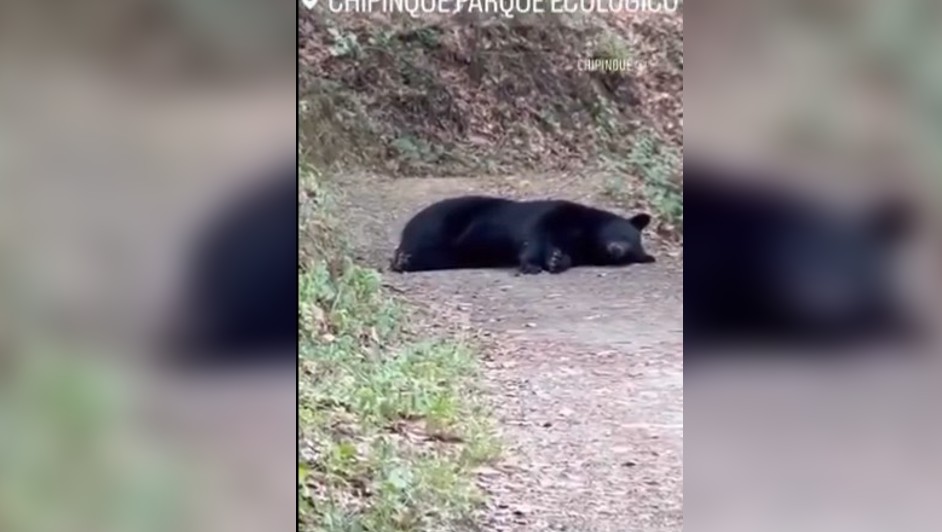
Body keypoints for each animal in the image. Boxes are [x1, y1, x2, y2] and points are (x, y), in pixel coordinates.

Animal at [389, 195, 656, 275]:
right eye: (625, 234)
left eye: (631, 253)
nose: (616, 250)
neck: (585, 236)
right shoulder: (558, 213)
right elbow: (535, 233)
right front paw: (532, 264)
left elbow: (566, 255)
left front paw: (557, 260)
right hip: (441, 222)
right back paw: (403, 260)